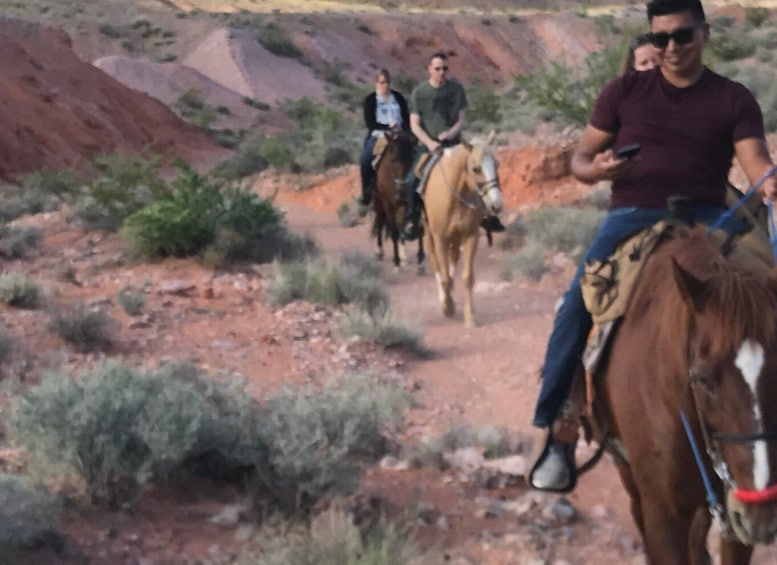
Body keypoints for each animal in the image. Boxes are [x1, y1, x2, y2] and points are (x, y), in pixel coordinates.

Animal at [370, 131, 424, 274]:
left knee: (400, 224)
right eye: (392, 159)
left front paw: (421, 263)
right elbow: (394, 232)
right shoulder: (388, 205)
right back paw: (379, 251)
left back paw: (403, 255)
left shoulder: (416, 204)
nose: (402, 193)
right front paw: (396, 263)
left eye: (411, 159)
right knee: (380, 221)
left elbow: (419, 229)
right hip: (379, 202)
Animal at [422, 139, 506, 326]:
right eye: (475, 169)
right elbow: (444, 276)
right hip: (429, 235)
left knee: (453, 258)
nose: (496, 205)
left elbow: (467, 277)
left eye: (497, 164)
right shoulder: (440, 238)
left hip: (455, 237)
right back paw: (444, 299)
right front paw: (447, 307)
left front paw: (469, 317)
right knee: (436, 264)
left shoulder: (470, 236)